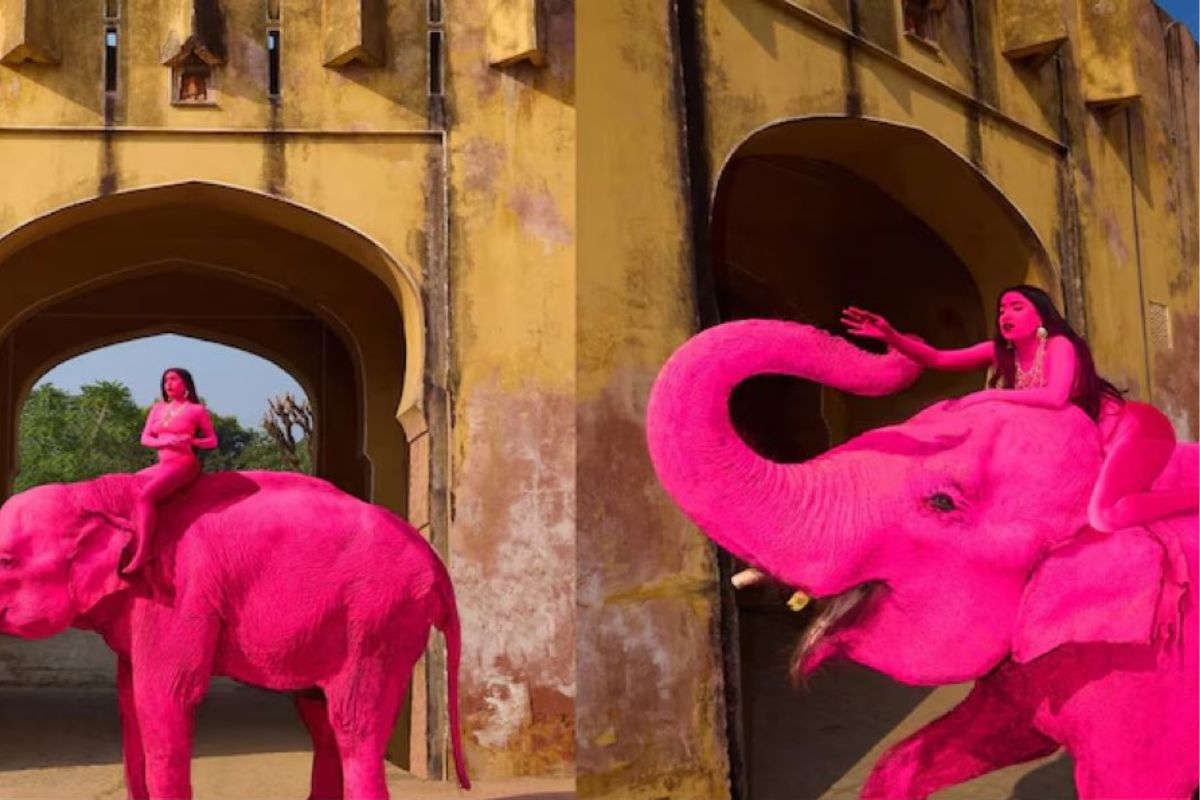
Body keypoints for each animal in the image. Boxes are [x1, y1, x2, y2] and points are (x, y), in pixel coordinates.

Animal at [0, 470, 469, 800]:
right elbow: (129, 700)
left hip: (379, 619)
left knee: (353, 725)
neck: (99, 492)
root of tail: (438, 564)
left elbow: (163, 697)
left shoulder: (177, 598)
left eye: (5, 560)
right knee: (319, 718)